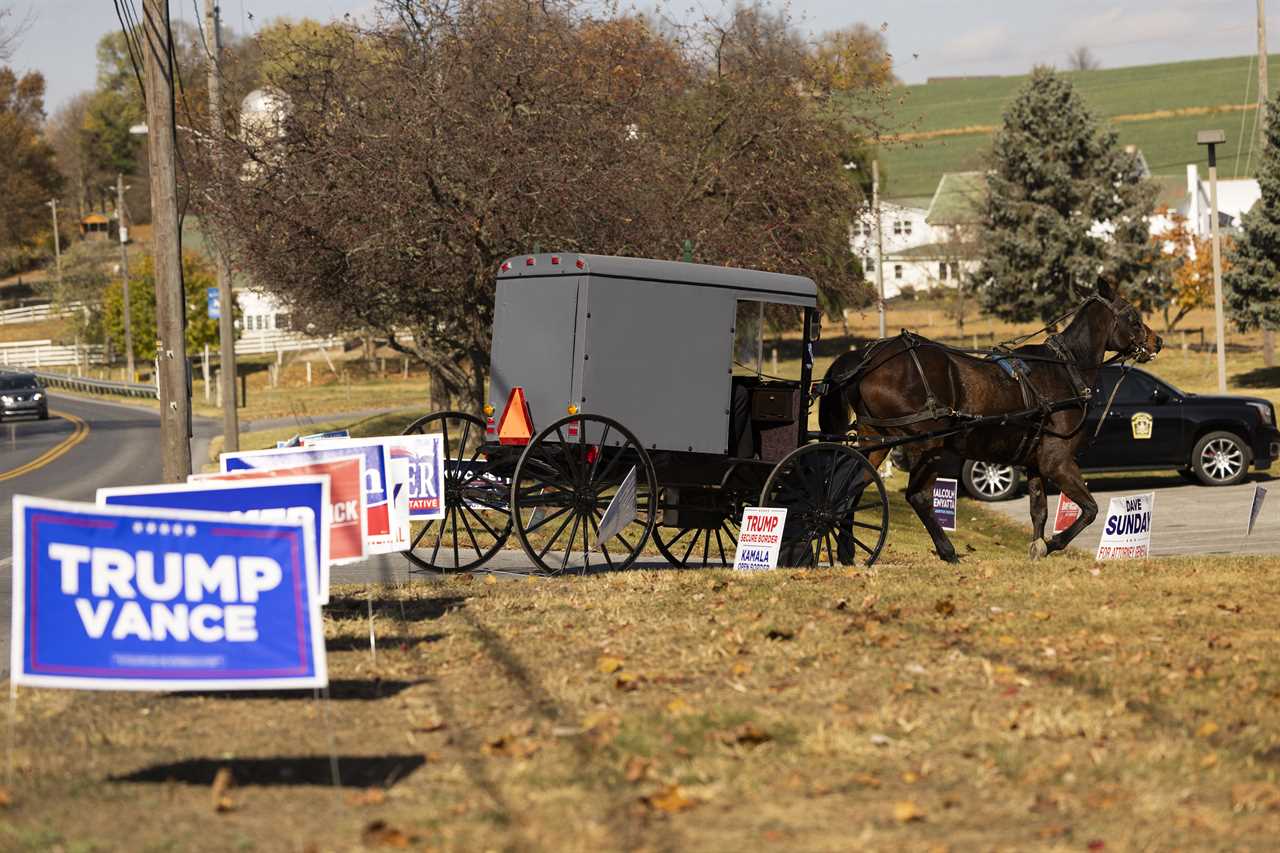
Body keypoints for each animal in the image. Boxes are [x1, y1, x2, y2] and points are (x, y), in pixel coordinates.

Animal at [819, 289, 1162, 560]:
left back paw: (846, 549)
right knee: (918, 496)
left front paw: (1037, 547)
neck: (1064, 368)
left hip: (874, 441)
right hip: (928, 444)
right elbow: (1089, 509)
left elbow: (1039, 510)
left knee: (850, 486)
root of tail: (867, 357)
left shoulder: (1035, 462)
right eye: (1132, 316)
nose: (1157, 341)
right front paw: (1052, 544)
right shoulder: (1057, 460)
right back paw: (947, 552)